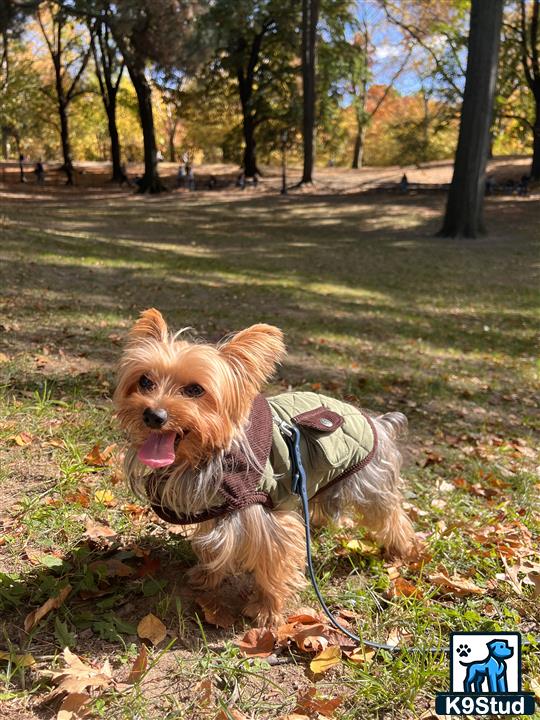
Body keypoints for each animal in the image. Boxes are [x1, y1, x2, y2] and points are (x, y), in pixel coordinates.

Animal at [114, 310, 416, 624]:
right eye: (145, 381)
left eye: (195, 389)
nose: (153, 415)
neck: (206, 455)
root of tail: (377, 421)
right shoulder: (219, 506)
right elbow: (214, 547)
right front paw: (207, 576)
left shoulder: (265, 514)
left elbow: (274, 561)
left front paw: (267, 609)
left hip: (368, 482)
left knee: (390, 515)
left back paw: (401, 550)